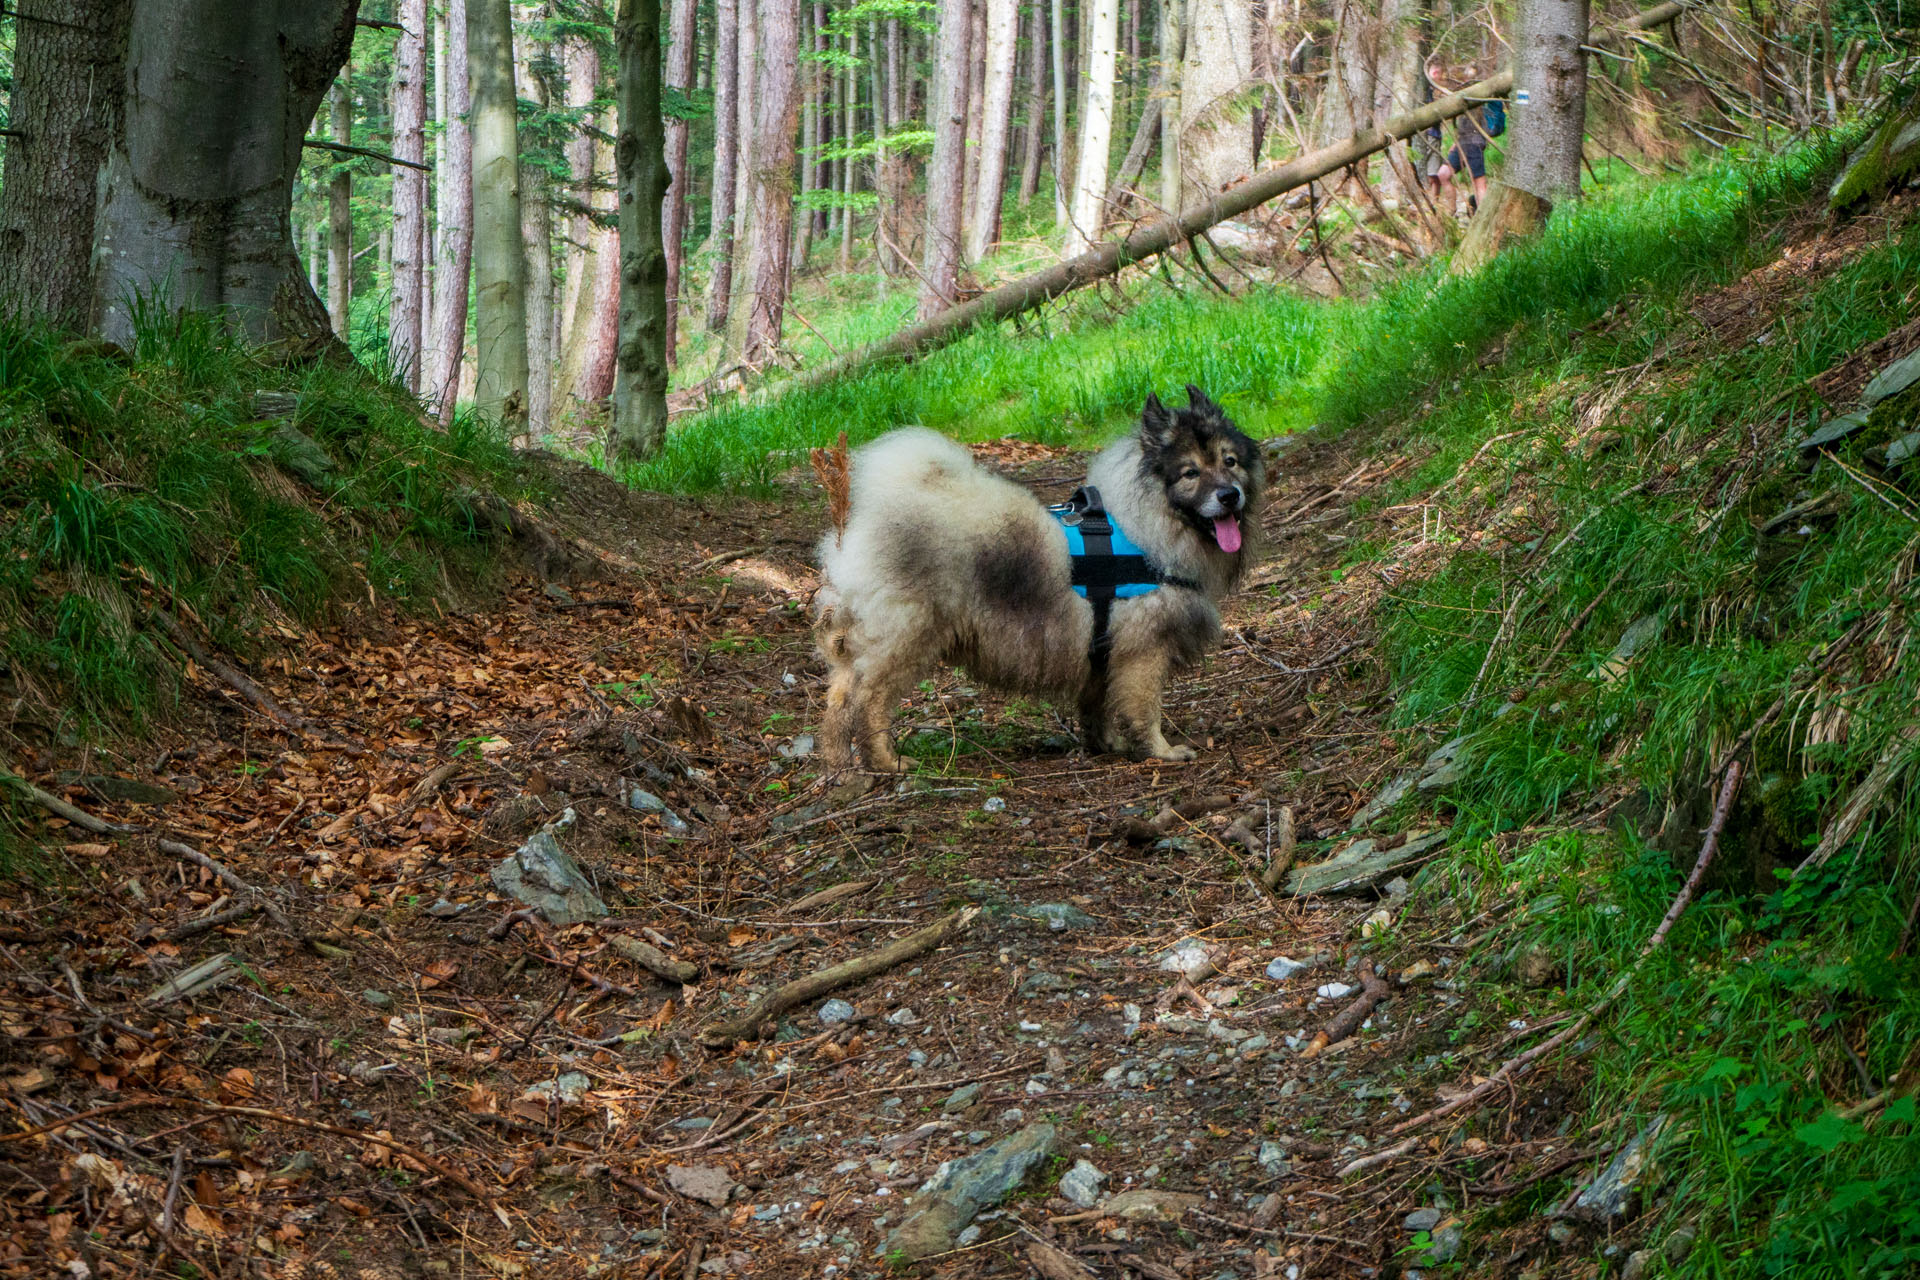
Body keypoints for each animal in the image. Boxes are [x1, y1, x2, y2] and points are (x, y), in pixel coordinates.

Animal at [814, 387, 1251, 771]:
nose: (1230, 495)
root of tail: (864, 524)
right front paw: (1161, 751)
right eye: (1190, 472)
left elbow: (1099, 705)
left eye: (1230, 461)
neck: (1147, 529)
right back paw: (887, 762)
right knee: (868, 700)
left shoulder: (1101, 649)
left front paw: (1107, 744)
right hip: (909, 637)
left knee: (838, 698)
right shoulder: (1143, 650)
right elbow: (1144, 709)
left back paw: (838, 764)